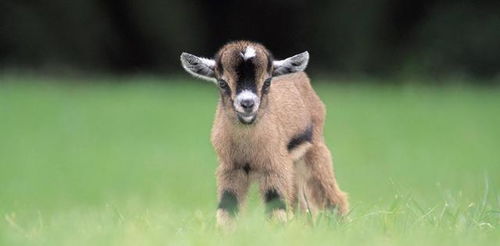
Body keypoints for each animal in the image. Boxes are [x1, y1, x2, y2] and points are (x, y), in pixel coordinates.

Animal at [180, 41, 348, 226]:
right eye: (222, 83)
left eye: (267, 82)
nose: (247, 104)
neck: (248, 149)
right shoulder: (231, 168)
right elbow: (227, 207)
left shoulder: (274, 167)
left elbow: (276, 207)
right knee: (301, 206)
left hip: (314, 151)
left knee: (332, 196)